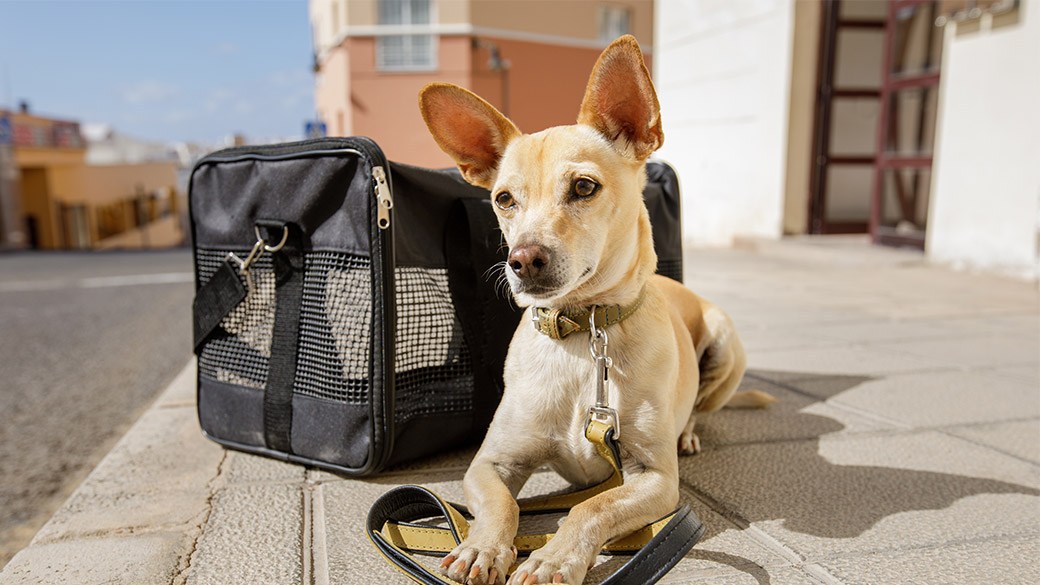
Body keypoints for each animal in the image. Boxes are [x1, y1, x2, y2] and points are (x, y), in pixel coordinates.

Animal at [418, 34, 769, 578]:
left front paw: (553, 559)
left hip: (726, 345)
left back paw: (687, 432)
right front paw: (483, 546)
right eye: (503, 199)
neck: (584, 333)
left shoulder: (654, 478)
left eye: (584, 187)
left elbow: (591, 507)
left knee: (697, 407)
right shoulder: (488, 464)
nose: (523, 260)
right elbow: (503, 503)